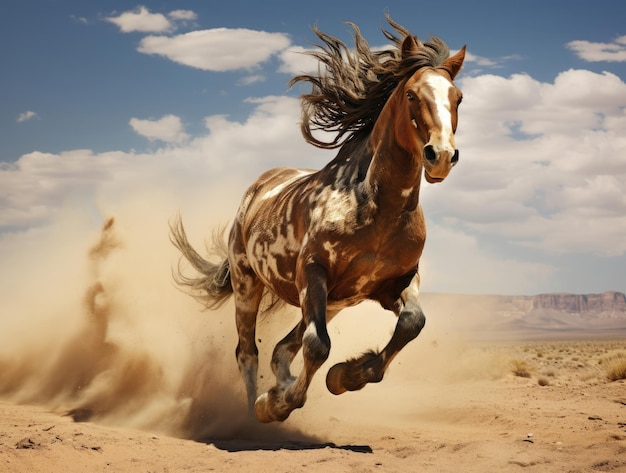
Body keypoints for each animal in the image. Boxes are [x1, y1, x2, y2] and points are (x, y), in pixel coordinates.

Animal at [171, 16, 464, 422]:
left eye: (458, 98)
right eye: (410, 95)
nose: (441, 156)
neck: (377, 210)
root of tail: (256, 191)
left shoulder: (395, 283)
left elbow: (411, 324)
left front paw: (345, 376)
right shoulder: (313, 272)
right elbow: (317, 346)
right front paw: (277, 404)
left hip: (334, 302)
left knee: (280, 348)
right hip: (249, 285)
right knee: (248, 352)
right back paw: (253, 413)